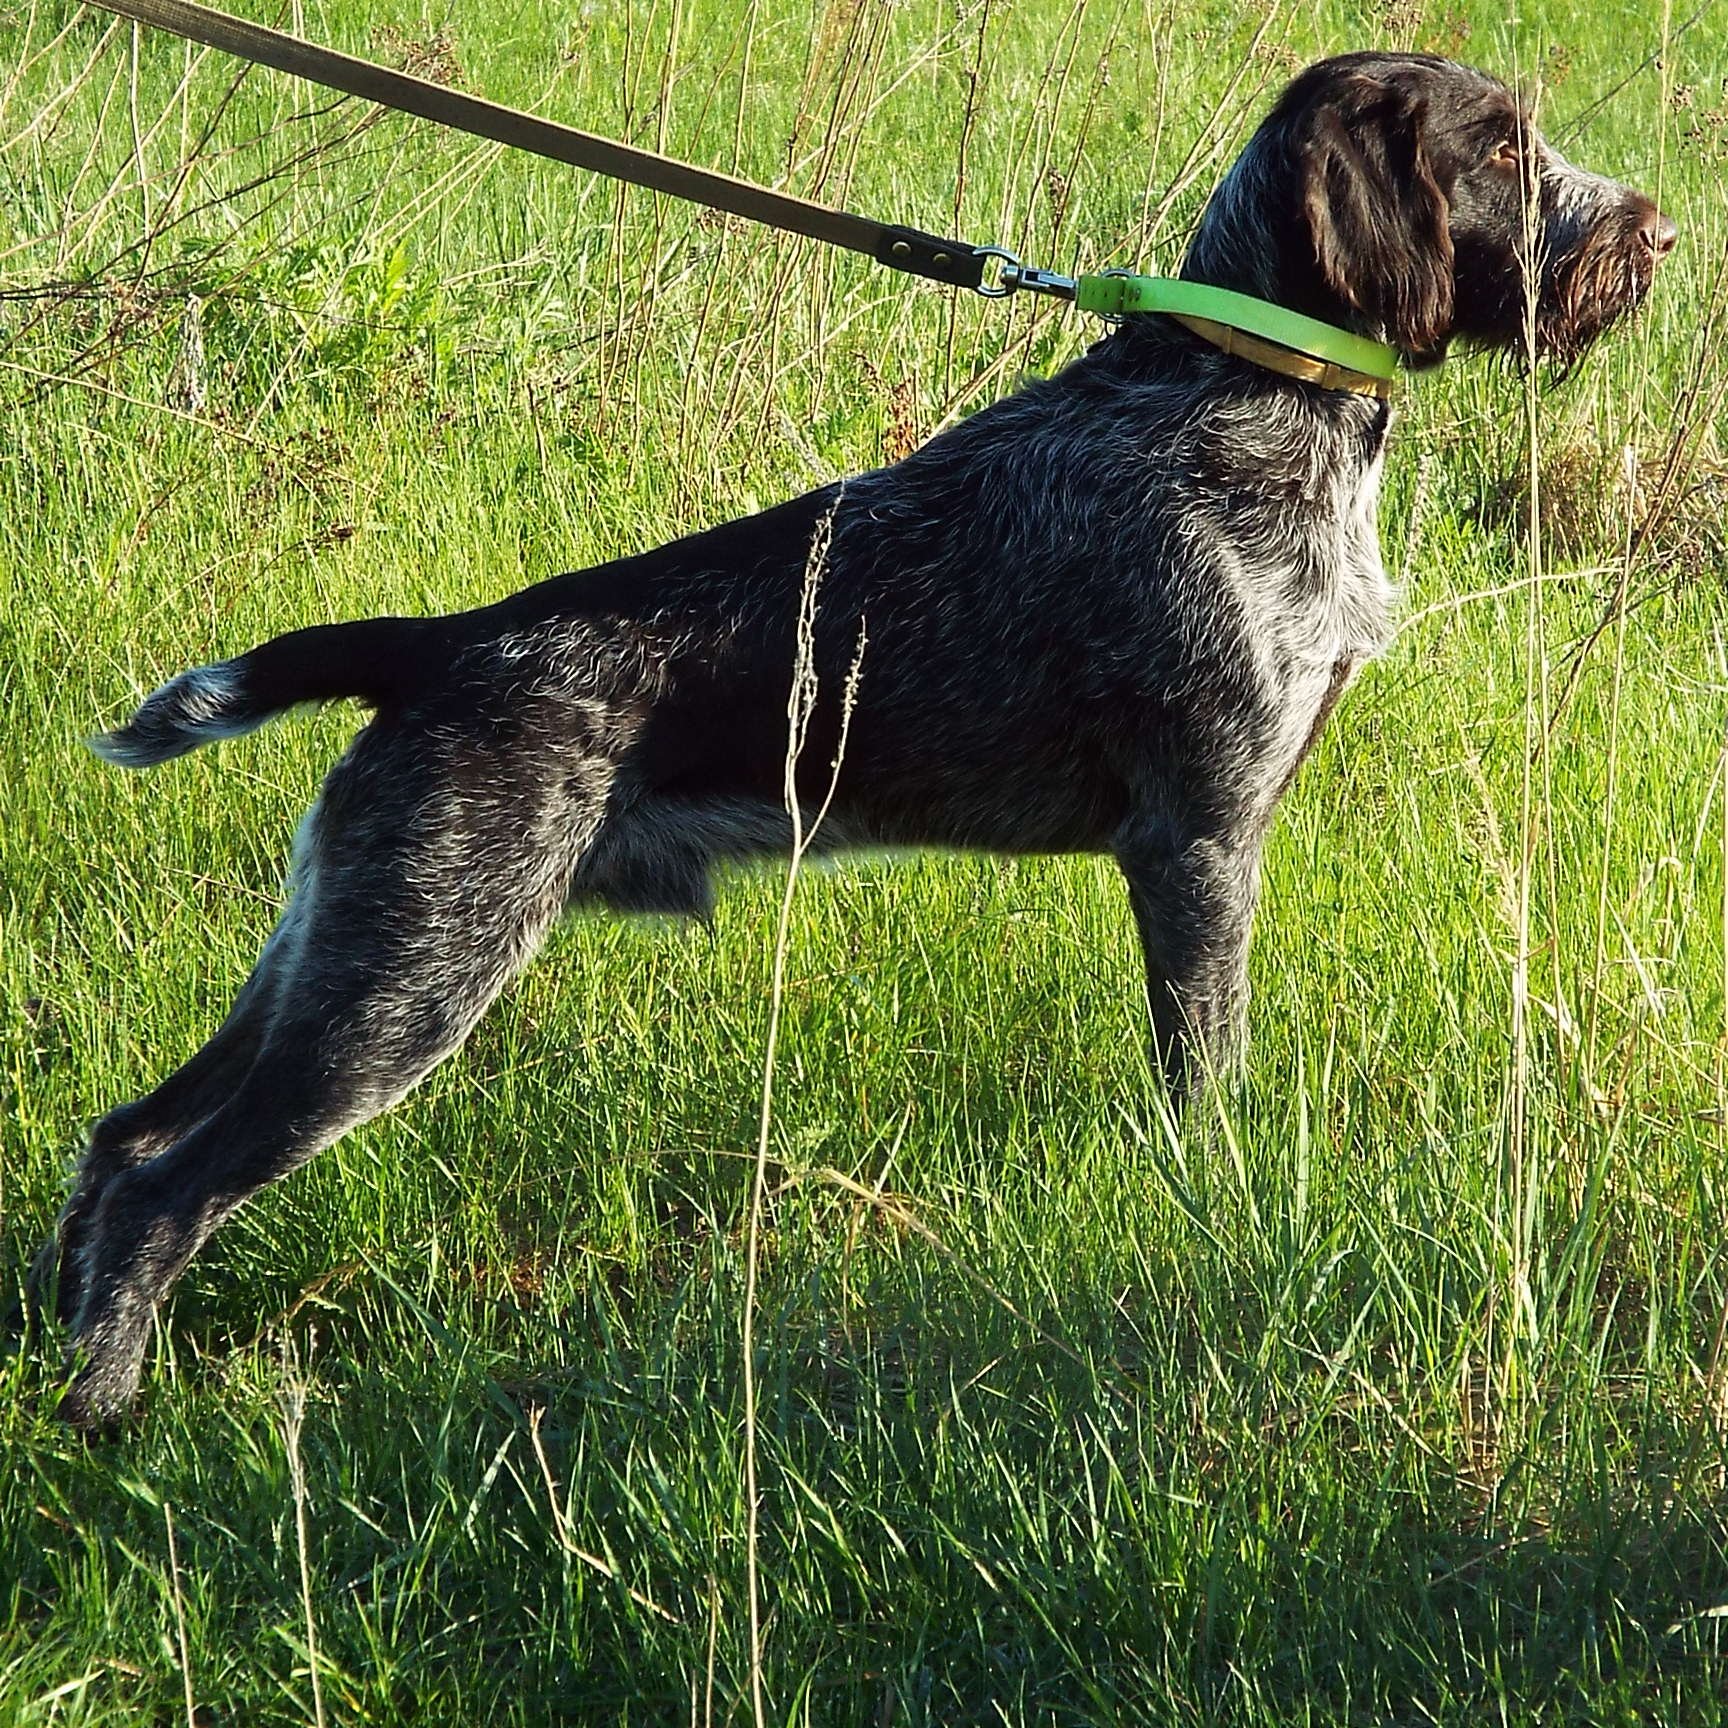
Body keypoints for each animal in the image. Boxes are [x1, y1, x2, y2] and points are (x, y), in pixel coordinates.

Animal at [27, 57, 1672, 1430]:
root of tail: (440, 644)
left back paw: (49, 1346)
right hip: (413, 977)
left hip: (334, 950)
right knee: (170, 1191)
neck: (1240, 385)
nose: (1655, 234)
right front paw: (1222, 1204)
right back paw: (103, 1408)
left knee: (119, 1145)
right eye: (1504, 145)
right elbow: (1204, 1080)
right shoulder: (1198, 844)